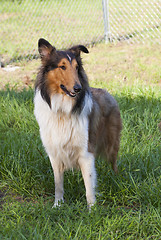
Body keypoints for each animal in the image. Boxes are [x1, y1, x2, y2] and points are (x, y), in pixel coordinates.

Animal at [34, 38, 122, 209]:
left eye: (76, 67)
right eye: (62, 66)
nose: (78, 88)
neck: (62, 110)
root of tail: (106, 91)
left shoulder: (86, 152)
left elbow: (89, 184)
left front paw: (92, 209)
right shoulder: (54, 153)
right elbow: (58, 183)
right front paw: (57, 205)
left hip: (111, 143)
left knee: (114, 163)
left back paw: (116, 180)